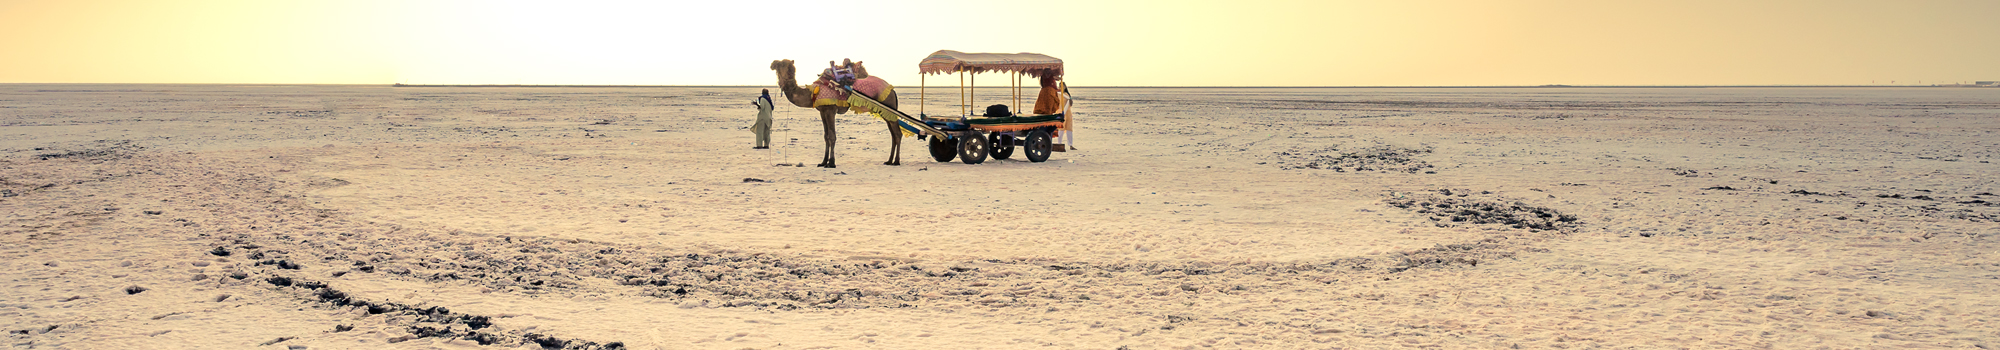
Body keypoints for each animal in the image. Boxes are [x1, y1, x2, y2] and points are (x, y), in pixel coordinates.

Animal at [768, 58, 904, 168]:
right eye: (781, 66)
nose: (773, 64)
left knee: (897, 133)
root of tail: (892, 90)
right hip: (886, 112)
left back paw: (896, 161)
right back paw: (889, 161)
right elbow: (826, 136)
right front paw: (823, 162)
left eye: (791, 68)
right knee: (893, 134)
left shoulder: (831, 110)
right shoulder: (823, 111)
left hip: (888, 108)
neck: (812, 92)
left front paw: (832, 163)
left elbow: (832, 136)